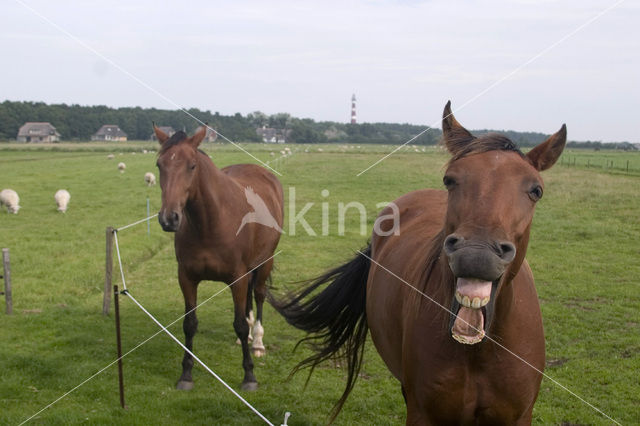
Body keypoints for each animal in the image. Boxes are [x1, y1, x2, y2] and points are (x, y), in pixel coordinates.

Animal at [154, 125, 284, 392]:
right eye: (160, 164)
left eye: (192, 166)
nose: (169, 218)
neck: (210, 223)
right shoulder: (186, 278)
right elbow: (190, 324)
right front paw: (186, 374)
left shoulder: (238, 278)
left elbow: (240, 323)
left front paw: (249, 376)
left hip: (265, 263)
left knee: (259, 296)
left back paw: (257, 342)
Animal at [272, 101, 568, 424]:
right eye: (450, 179)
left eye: (536, 190)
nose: (477, 254)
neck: (478, 350)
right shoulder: (422, 412)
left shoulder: (518, 416)